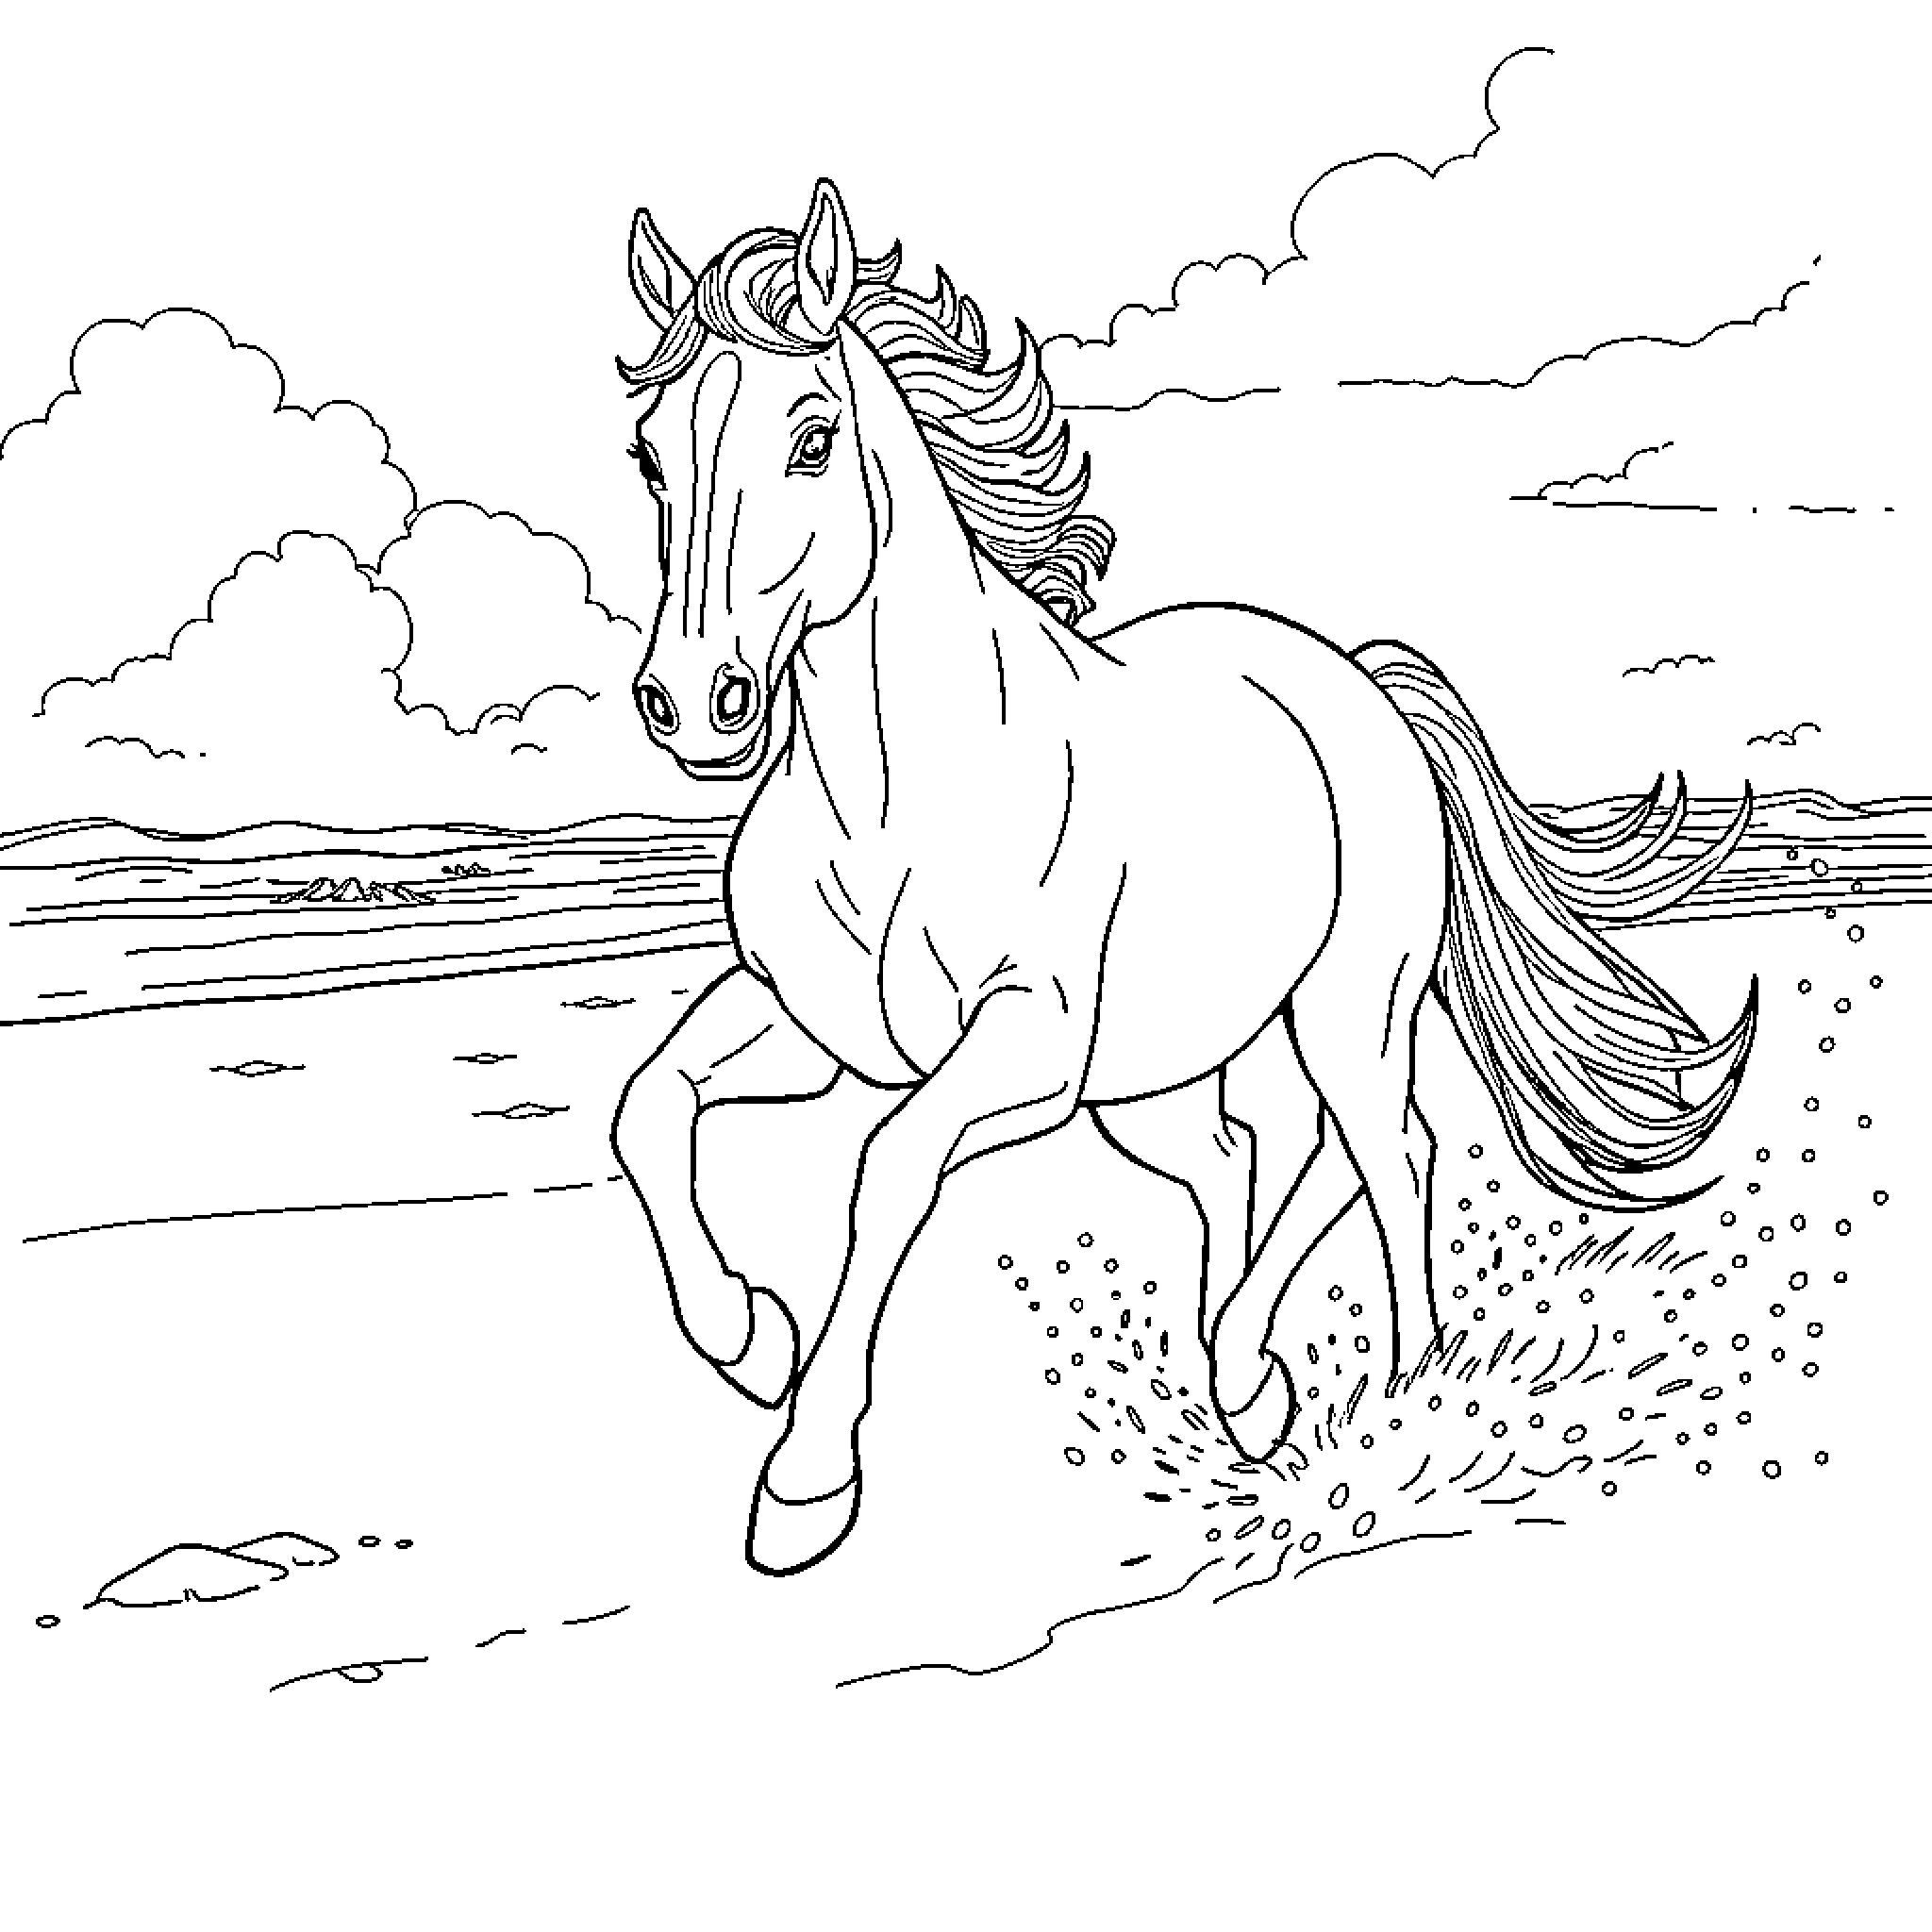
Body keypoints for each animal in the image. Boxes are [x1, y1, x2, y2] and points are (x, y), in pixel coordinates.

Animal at [609, 179, 1757, 1577]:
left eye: (813, 440)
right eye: (649, 456)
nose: (692, 703)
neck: (891, 797)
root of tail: (1358, 683)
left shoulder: (1022, 1051)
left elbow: (884, 1173)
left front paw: (805, 1479)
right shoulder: (813, 1028)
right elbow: (647, 1105)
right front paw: (747, 1337)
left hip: (1345, 1009)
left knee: (1389, 1150)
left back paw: (1409, 1393)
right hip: (1156, 1071)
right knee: (1246, 1155)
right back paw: (1246, 1382)